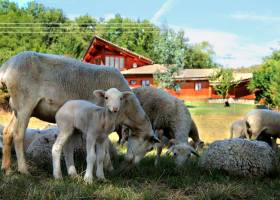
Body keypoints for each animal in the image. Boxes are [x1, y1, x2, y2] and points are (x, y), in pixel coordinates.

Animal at [0, 51, 158, 175]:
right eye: (150, 148)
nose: (129, 169)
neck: (126, 110)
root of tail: (7, 66)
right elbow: (105, 147)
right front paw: (108, 167)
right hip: (25, 103)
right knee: (18, 134)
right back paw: (23, 170)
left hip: (16, 107)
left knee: (8, 132)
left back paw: (7, 169)